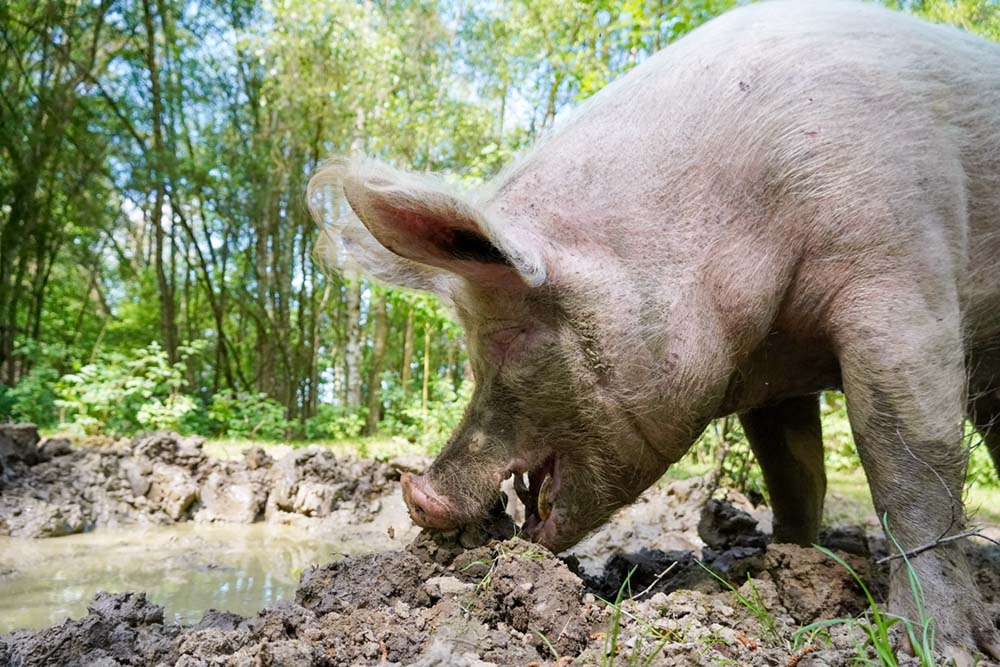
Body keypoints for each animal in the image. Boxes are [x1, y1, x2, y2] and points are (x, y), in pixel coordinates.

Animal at [308, 0, 1000, 662]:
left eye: (508, 338)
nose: (419, 496)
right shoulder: (776, 373)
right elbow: (794, 471)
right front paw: (781, 561)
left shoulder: (904, 276)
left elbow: (907, 457)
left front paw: (939, 647)